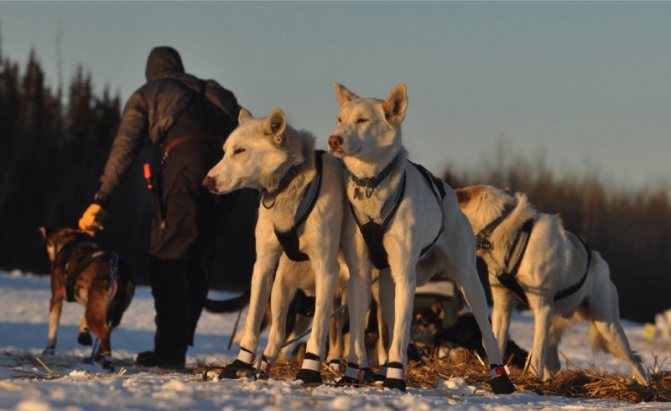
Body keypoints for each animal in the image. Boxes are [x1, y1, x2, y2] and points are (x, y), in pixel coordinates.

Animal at [39, 227, 135, 372]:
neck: (70, 241)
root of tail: (117, 270)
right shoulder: (90, 302)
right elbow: (83, 318)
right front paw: (83, 334)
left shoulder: (56, 298)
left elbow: (53, 327)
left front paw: (48, 351)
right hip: (111, 313)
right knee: (106, 332)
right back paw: (99, 357)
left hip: (96, 315)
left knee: (105, 334)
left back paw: (107, 361)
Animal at [205, 108, 350, 384]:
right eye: (225, 150)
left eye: (240, 150)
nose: (207, 182)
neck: (289, 186)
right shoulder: (263, 263)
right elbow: (251, 323)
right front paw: (240, 364)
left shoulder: (326, 269)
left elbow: (319, 331)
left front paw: (309, 370)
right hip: (283, 285)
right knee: (279, 334)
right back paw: (268, 361)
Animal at [330, 83, 516, 392]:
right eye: (340, 119)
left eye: (363, 120)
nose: (333, 140)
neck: (374, 185)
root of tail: (450, 194)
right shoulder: (359, 275)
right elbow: (358, 334)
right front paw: (353, 374)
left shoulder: (406, 275)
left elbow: (400, 337)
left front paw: (396, 377)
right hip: (386, 285)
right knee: (388, 322)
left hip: (467, 281)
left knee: (486, 331)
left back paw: (500, 377)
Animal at [454, 186, 648, 386]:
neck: (506, 229)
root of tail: (600, 261)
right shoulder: (502, 306)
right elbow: (496, 341)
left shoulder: (542, 307)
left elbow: (537, 351)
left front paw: (532, 377)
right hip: (559, 325)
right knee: (554, 361)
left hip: (608, 329)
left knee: (635, 360)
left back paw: (645, 385)